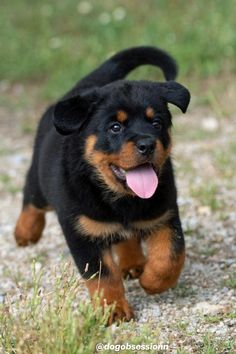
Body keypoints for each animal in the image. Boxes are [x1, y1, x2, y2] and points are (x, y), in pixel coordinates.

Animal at [14, 46, 191, 324]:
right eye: (115, 127)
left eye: (156, 123)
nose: (147, 144)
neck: (122, 200)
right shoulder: (82, 233)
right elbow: (103, 275)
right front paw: (114, 310)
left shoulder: (163, 214)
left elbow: (171, 256)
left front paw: (152, 282)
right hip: (39, 182)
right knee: (31, 200)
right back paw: (25, 233)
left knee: (124, 238)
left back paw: (134, 263)